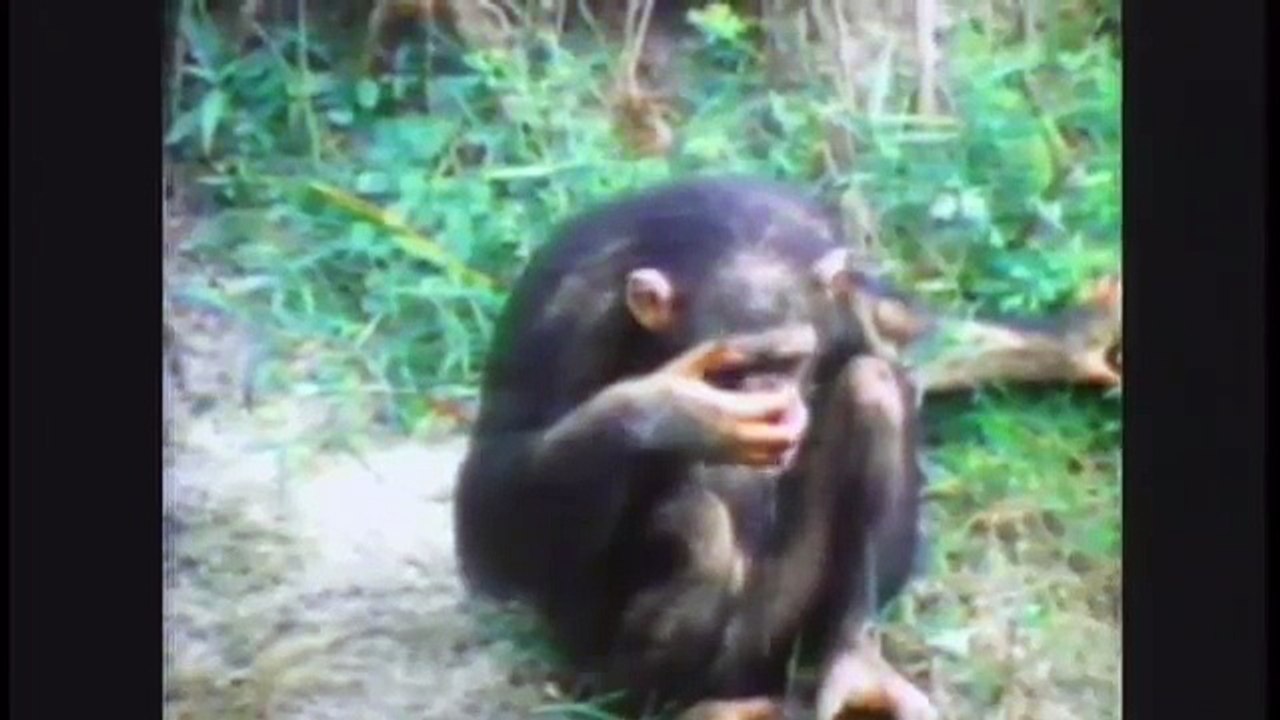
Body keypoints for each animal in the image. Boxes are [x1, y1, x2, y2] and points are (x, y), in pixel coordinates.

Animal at [453, 176, 937, 720]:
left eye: (790, 360)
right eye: (731, 369)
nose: (769, 392)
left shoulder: (853, 298)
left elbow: (886, 367)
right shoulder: (560, 308)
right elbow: (492, 491)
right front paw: (669, 408)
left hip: (784, 633)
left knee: (870, 386)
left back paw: (853, 660)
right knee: (700, 530)